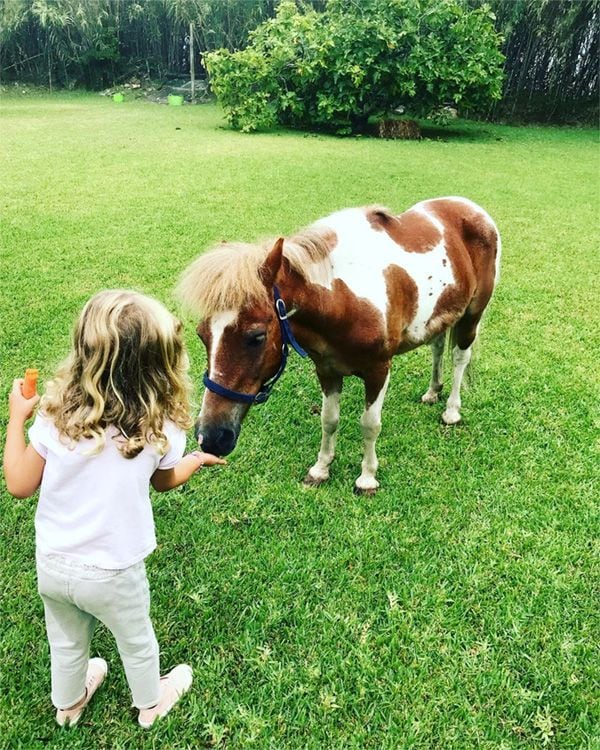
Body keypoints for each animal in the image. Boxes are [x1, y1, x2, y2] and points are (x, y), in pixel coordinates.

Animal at [178, 197, 502, 496]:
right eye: (202, 335)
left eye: (256, 336)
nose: (210, 437)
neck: (342, 299)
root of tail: (471, 208)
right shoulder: (327, 370)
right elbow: (329, 420)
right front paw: (320, 469)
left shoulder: (378, 370)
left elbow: (370, 424)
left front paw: (367, 478)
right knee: (437, 347)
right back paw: (433, 391)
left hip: (472, 313)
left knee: (460, 358)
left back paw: (452, 411)